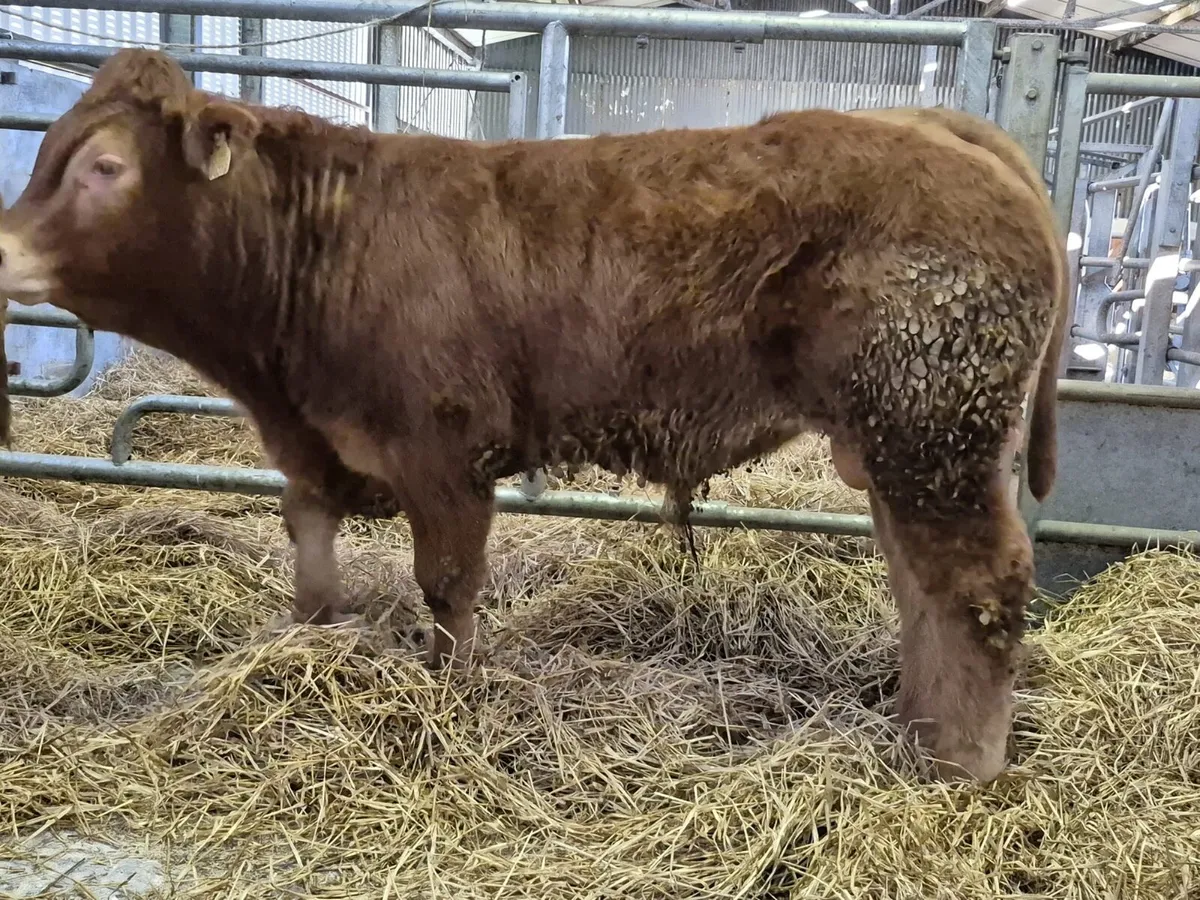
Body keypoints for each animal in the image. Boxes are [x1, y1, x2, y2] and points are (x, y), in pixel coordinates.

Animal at [0, 49, 1067, 784]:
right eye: (45, 148)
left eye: (103, 167)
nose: (3, 251)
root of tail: (932, 124)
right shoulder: (313, 452)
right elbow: (311, 570)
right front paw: (308, 655)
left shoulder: (443, 452)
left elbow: (447, 589)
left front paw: (452, 705)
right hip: (899, 442)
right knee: (923, 587)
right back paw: (917, 734)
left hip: (933, 429)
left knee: (977, 582)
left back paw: (962, 763)